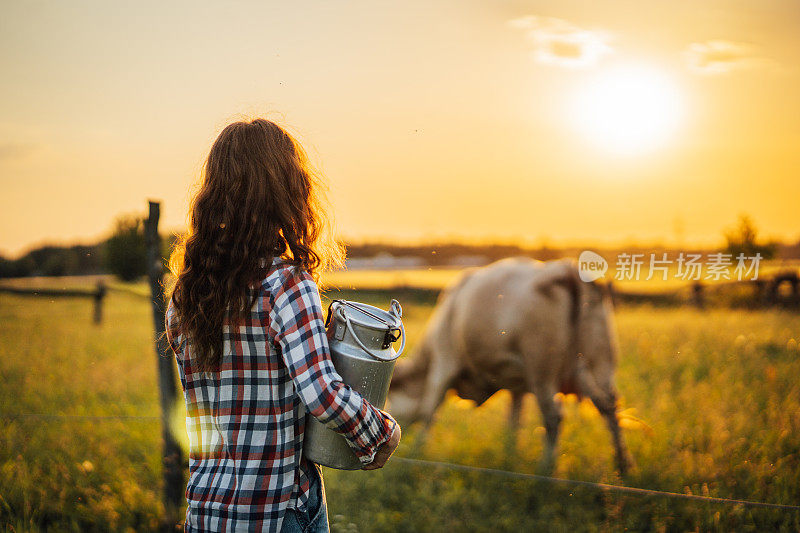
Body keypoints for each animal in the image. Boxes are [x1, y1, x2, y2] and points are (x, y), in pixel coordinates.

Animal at [390, 256, 636, 472]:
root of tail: (566, 270)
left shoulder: (444, 364)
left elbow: (429, 411)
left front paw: (418, 450)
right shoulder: (518, 386)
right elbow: (514, 419)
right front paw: (510, 453)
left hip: (542, 371)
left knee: (554, 416)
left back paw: (547, 469)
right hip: (600, 366)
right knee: (610, 409)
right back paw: (623, 465)